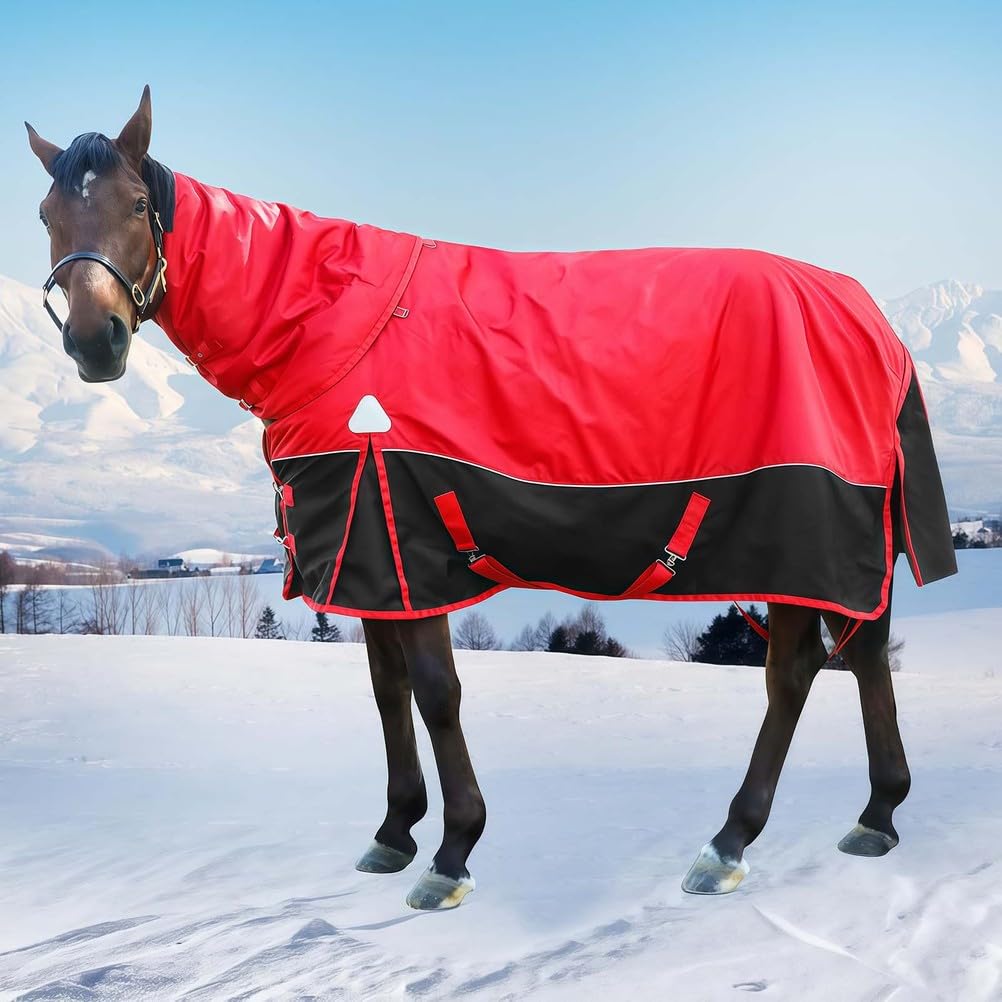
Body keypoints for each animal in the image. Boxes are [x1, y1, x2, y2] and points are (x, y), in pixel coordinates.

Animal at [26, 87, 957, 910]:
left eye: (137, 202)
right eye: (44, 216)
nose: (95, 342)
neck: (332, 320)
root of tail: (874, 322)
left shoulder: (406, 542)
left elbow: (437, 692)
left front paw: (452, 853)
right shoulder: (370, 561)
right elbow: (387, 689)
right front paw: (395, 832)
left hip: (804, 538)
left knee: (793, 675)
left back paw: (730, 842)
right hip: (849, 549)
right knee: (866, 656)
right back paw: (878, 814)